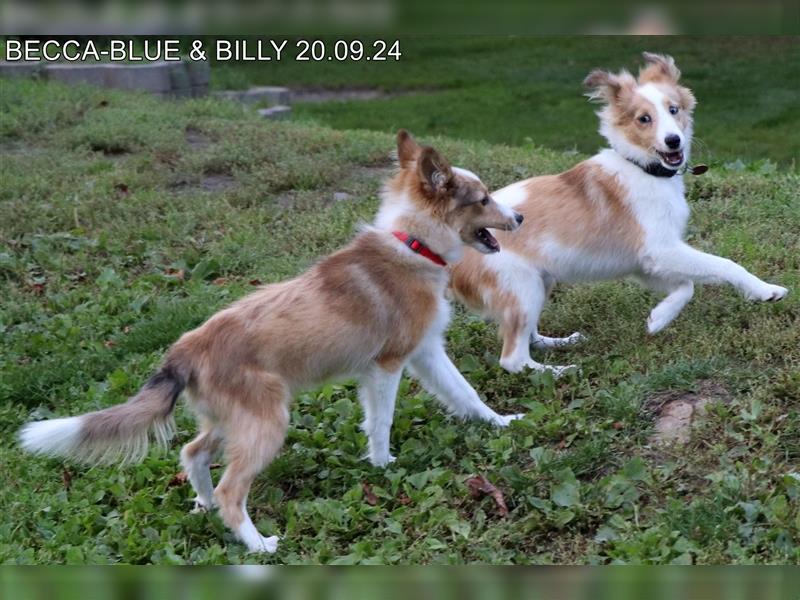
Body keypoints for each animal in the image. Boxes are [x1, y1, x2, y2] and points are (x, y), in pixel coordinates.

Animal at [18, 130, 524, 552]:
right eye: (483, 199)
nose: (519, 216)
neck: (412, 243)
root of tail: (184, 351)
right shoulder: (387, 365)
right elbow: (380, 422)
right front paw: (382, 467)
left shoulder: (425, 352)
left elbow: (465, 392)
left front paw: (501, 422)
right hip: (266, 422)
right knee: (230, 488)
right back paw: (258, 544)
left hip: (233, 420)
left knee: (192, 453)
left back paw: (204, 505)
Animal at [450, 54, 788, 372]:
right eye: (644, 119)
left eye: (674, 110)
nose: (673, 141)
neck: (642, 168)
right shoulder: (661, 251)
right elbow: (725, 265)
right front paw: (765, 290)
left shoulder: (645, 263)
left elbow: (686, 286)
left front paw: (659, 318)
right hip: (521, 286)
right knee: (513, 359)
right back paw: (561, 372)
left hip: (540, 283)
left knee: (528, 337)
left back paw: (560, 342)